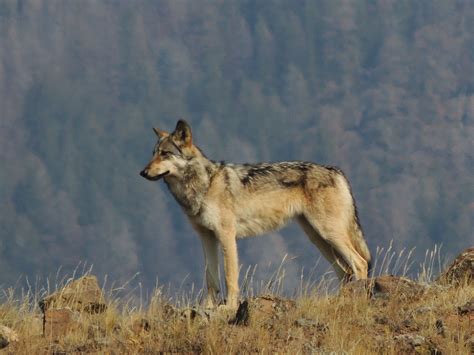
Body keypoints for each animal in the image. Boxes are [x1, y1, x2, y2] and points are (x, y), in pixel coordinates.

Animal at [139, 121, 372, 310]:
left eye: (165, 153)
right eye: (153, 153)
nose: (142, 173)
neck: (205, 185)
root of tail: (336, 171)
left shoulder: (226, 235)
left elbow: (230, 276)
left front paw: (229, 307)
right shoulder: (206, 237)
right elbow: (211, 278)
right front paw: (208, 307)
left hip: (328, 233)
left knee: (360, 263)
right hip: (317, 238)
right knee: (344, 271)